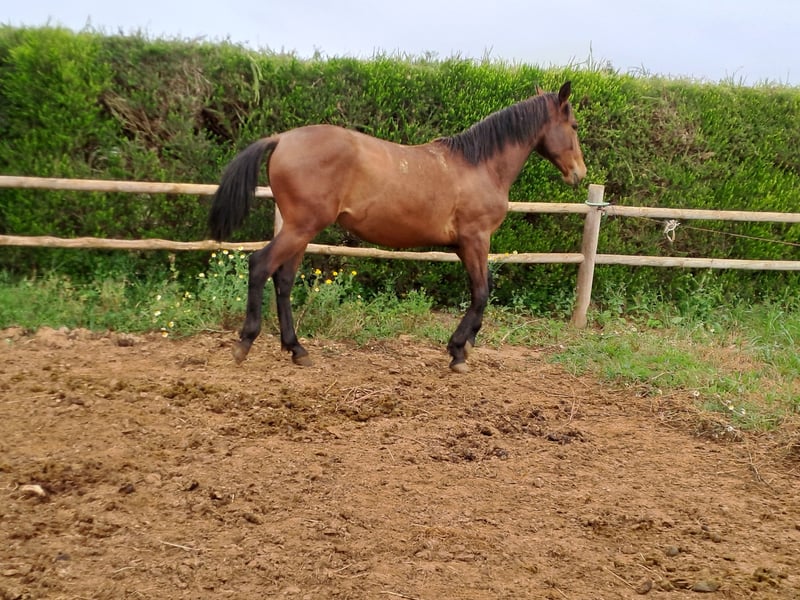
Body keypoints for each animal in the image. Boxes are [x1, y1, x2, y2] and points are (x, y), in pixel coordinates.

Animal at [209, 81, 586, 372]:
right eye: (574, 125)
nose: (579, 174)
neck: (480, 165)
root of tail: (282, 139)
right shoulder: (476, 239)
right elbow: (481, 292)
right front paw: (458, 352)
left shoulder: (464, 246)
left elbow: (482, 288)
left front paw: (463, 345)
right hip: (301, 227)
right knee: (260, 265)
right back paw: (245, 344)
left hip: (301, 230)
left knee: (284, 280)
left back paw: (297, 350)